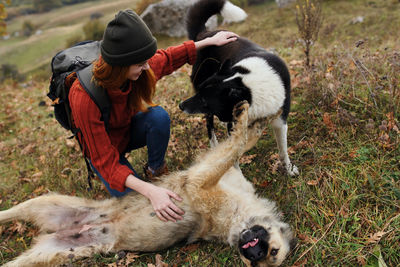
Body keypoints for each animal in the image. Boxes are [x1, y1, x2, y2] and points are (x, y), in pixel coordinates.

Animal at [0, 102, 294, 267]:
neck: (239, 218)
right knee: (10, 212)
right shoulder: (212, 171)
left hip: (45, 253)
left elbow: (236, 144)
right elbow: (240, 143)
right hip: (45, 202)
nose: (253, 252)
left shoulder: (201, 181)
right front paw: (257, 118)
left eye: (271, 255)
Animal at [180, 0, 298, 177]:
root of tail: (204, 34)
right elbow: (232, 158)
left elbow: (283, 149)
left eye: (204, 99)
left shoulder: (280, 120)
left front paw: (289, 170)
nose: (180, 106)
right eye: (200, 94)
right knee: (209, 125)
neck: (249, 84)